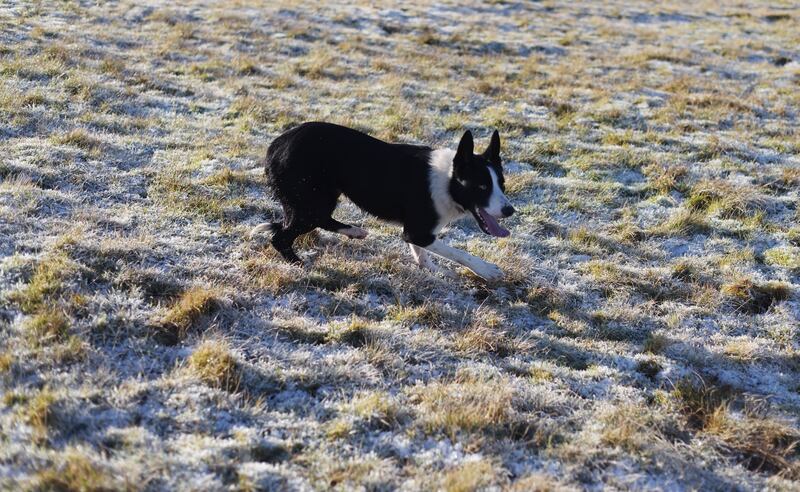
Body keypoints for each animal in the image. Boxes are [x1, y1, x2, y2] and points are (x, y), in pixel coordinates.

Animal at [253, 123, 516, 282]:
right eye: (481, 187)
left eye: (501, 184)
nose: (510, 210)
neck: (449, 178)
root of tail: (275, 146)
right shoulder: (417, 231)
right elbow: (456, 252)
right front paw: (486, 269)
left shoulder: (418, 231)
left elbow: (421, 253)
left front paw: (433, 270)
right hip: (313, 202)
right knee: (281, 238)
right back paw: (301, 264)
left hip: (318, 200)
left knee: (318, 221)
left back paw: (354, 231)